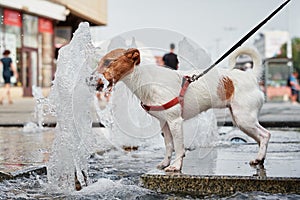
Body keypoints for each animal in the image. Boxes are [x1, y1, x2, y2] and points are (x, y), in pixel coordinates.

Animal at [97, 46, 270, 172]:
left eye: (108, 62)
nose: (92, 80)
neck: (146, 79)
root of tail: (250, 76)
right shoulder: (164, 124)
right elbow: (169, 146)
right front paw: (165, 163)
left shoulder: (175, 121)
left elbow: (179, 147)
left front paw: (175, 166)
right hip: (242, 121)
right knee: (260, 138)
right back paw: (259, 159)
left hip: (244, 118)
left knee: (265, 134)